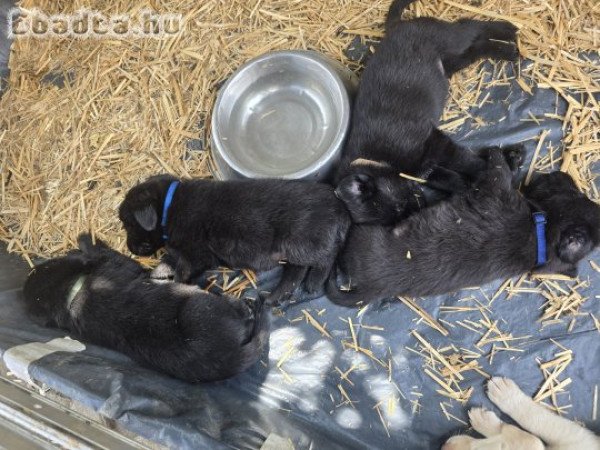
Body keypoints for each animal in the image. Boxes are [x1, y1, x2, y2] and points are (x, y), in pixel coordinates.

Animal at [22, 236, 268, 384]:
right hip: (199, 308)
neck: (73, 294)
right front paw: (87, 239)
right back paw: (245, 303)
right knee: (242, 314)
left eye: (47, 264)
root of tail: (230, 358)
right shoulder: (120, 265)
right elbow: (107, 254)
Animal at [118, 175, 352, 302]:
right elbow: (167, 262)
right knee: (296, 271)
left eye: (127, 223)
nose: (130, 248)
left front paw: (176, 288)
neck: (169, 206)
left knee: (327, 257)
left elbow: (181, 272)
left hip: (301, 241)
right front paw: (155, 274)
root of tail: (340, 206)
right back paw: (275, 297)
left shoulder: (196, 255)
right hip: (294, 249)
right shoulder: (182, 253)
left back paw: (314, 281)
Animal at [328, 149, 600, 308]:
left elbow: (495, 169)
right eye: (582, 195)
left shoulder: (493, 190)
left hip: (363, 233)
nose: (560, 174)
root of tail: (370, 289)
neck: (540, 233)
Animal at [332, 0, 520, 224]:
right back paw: (505, 48)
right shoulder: (428, 168)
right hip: (451, 62)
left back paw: (507, 31)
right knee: (477, 47)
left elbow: (468, 162)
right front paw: (466, 186)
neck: (378, 159)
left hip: (449, 38)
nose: (419, 205)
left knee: (471, 25)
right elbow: (449, 178)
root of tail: (397, 28)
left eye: (399, 205)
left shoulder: (437, 144)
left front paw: (487, 171)